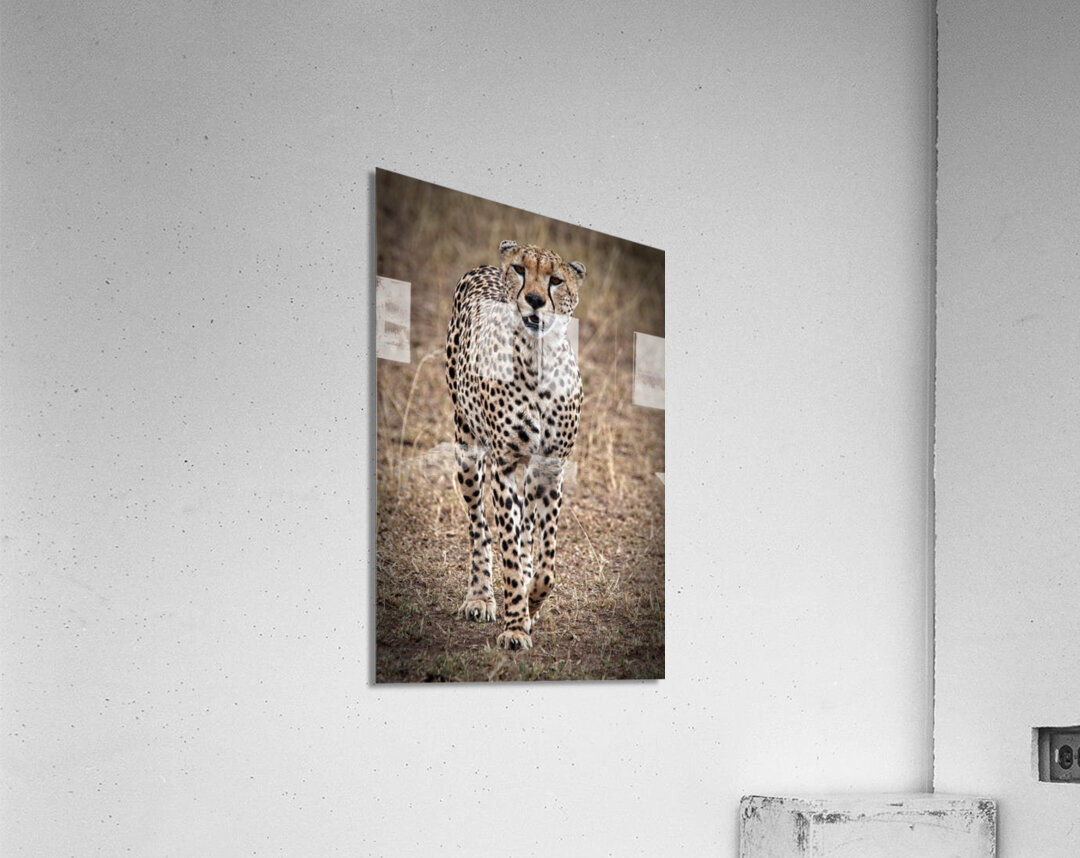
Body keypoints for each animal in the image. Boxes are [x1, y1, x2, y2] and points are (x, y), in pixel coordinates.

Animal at [445, 239, 585, 650]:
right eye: (521, 270)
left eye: (556, 280)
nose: (535, 300)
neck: (538, 358)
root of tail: (485, 267)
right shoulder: (504, 464)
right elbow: (506, 545)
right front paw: (515, 625)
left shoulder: (551, 467)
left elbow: (546, 564)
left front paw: (531, 604)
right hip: (467, 449)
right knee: (480, 527)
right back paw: (481, 596)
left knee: (525, 531)